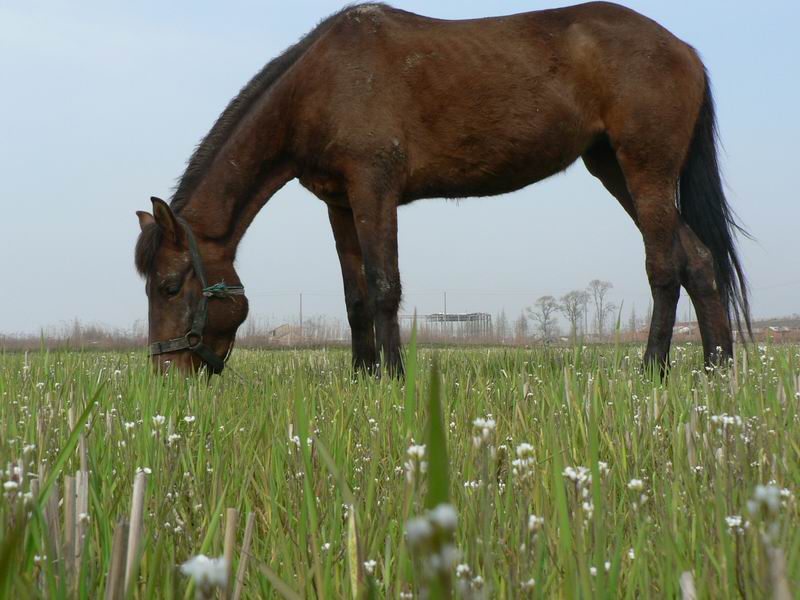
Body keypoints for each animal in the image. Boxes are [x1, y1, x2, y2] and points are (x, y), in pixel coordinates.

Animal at [133, 1, 752, 376]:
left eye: (169, 286)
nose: (166, 376)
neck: (323, 83)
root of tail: (684, 50)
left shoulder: (374, 189)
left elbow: (385, 287)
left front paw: (393, 378)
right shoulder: (339, 202)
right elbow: (355, 297)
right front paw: (363, 378)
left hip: (646, 169)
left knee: (664, 267)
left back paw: (653, 371)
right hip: (613, 169)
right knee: (699, 261)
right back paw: (715, 370)